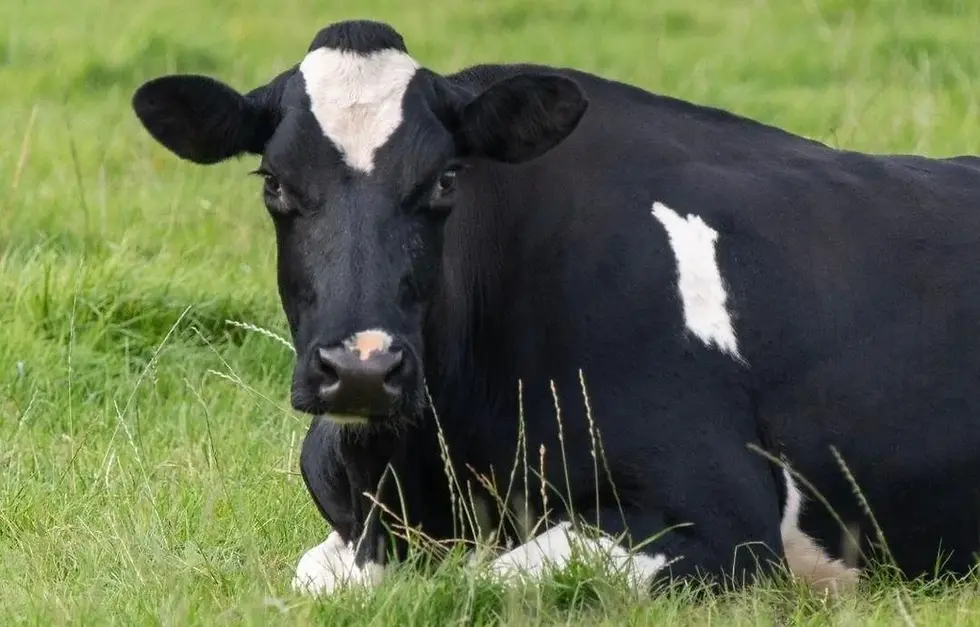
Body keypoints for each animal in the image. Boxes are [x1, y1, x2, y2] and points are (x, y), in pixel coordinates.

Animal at [130, 19, 980, 598]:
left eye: (445, 179)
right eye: (273, 182)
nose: (362, 368)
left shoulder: (718, 513)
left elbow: (491, 580)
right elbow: (321, 575)